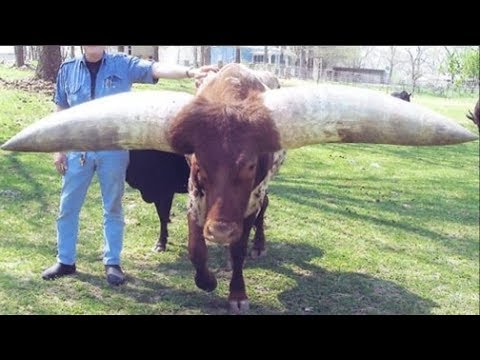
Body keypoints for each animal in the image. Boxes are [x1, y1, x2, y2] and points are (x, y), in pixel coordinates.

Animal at [2, 62, 476, 312]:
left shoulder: (249, 199)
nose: (221, 229)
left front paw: (236, 291)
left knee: (265, 218)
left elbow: (237, 252)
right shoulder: (193, 202)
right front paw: (206, 280)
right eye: (197, 166)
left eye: (248, 164)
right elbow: (194, 248)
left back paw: (260, 246)